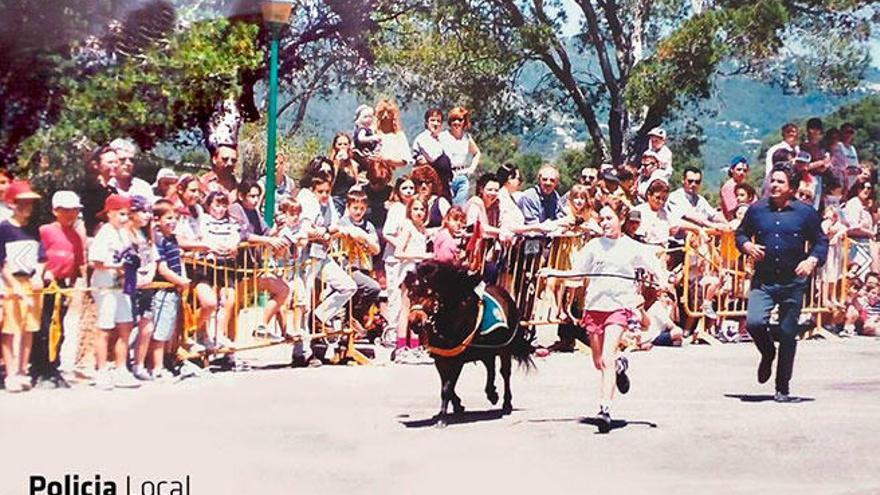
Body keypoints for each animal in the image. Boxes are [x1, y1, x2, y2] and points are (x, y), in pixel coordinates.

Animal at [402, 262, 532, 428]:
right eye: (410, 294)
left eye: (429, 293)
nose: (415, 322)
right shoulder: (441, 358)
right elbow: (448, 386)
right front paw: (457, 406)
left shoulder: (457, 359)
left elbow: (447, 387)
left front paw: (442, 418)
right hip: (486, 348)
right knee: (490, 366)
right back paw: (492, 394)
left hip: (504, 349)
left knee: (505, 372)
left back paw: (506, 403)